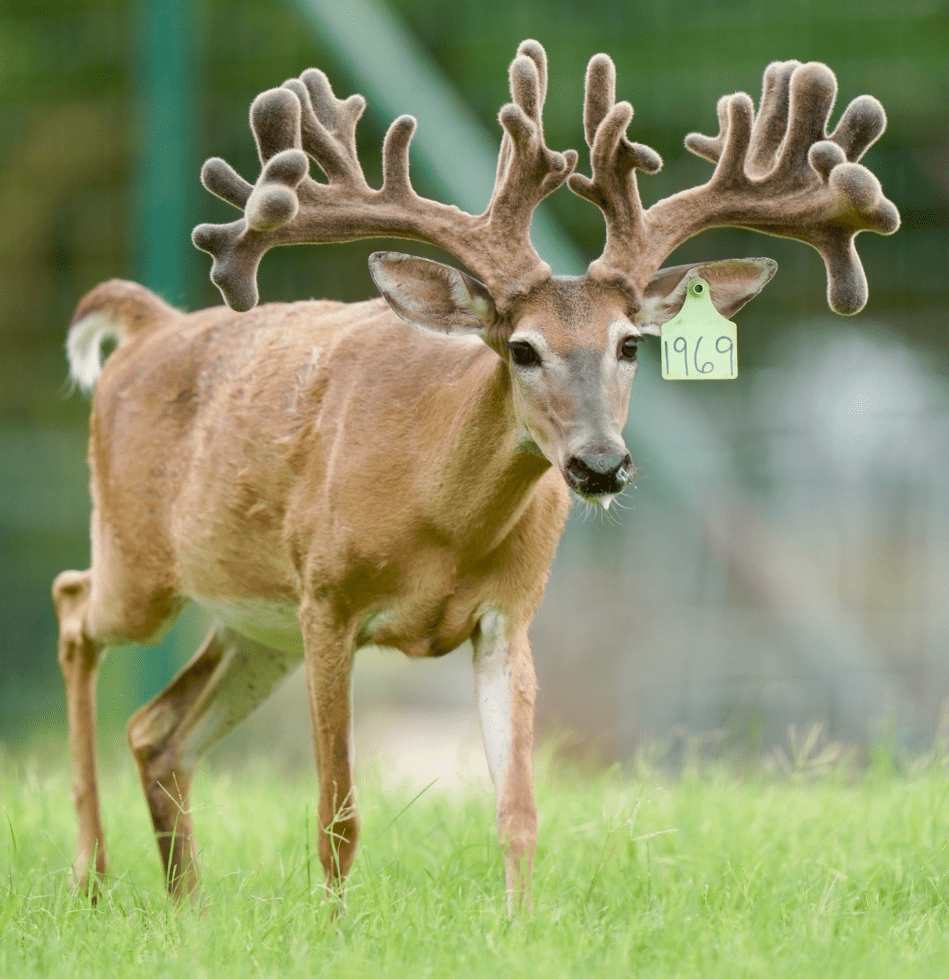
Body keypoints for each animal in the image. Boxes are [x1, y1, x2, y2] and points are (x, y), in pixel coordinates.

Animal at [54, 40, 898, 912]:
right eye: (521, 347)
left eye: (630, 343)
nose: (600, 464)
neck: (437, 526)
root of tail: (150, 324)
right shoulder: (327, 598)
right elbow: (337, 809)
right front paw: (334, 924)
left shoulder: (508, 614)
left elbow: (517, 808)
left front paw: (519, 921)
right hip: (143, 566)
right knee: (74, 606)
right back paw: (90, 869)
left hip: (255, 623)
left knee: (156, 729)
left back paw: (186, 901)